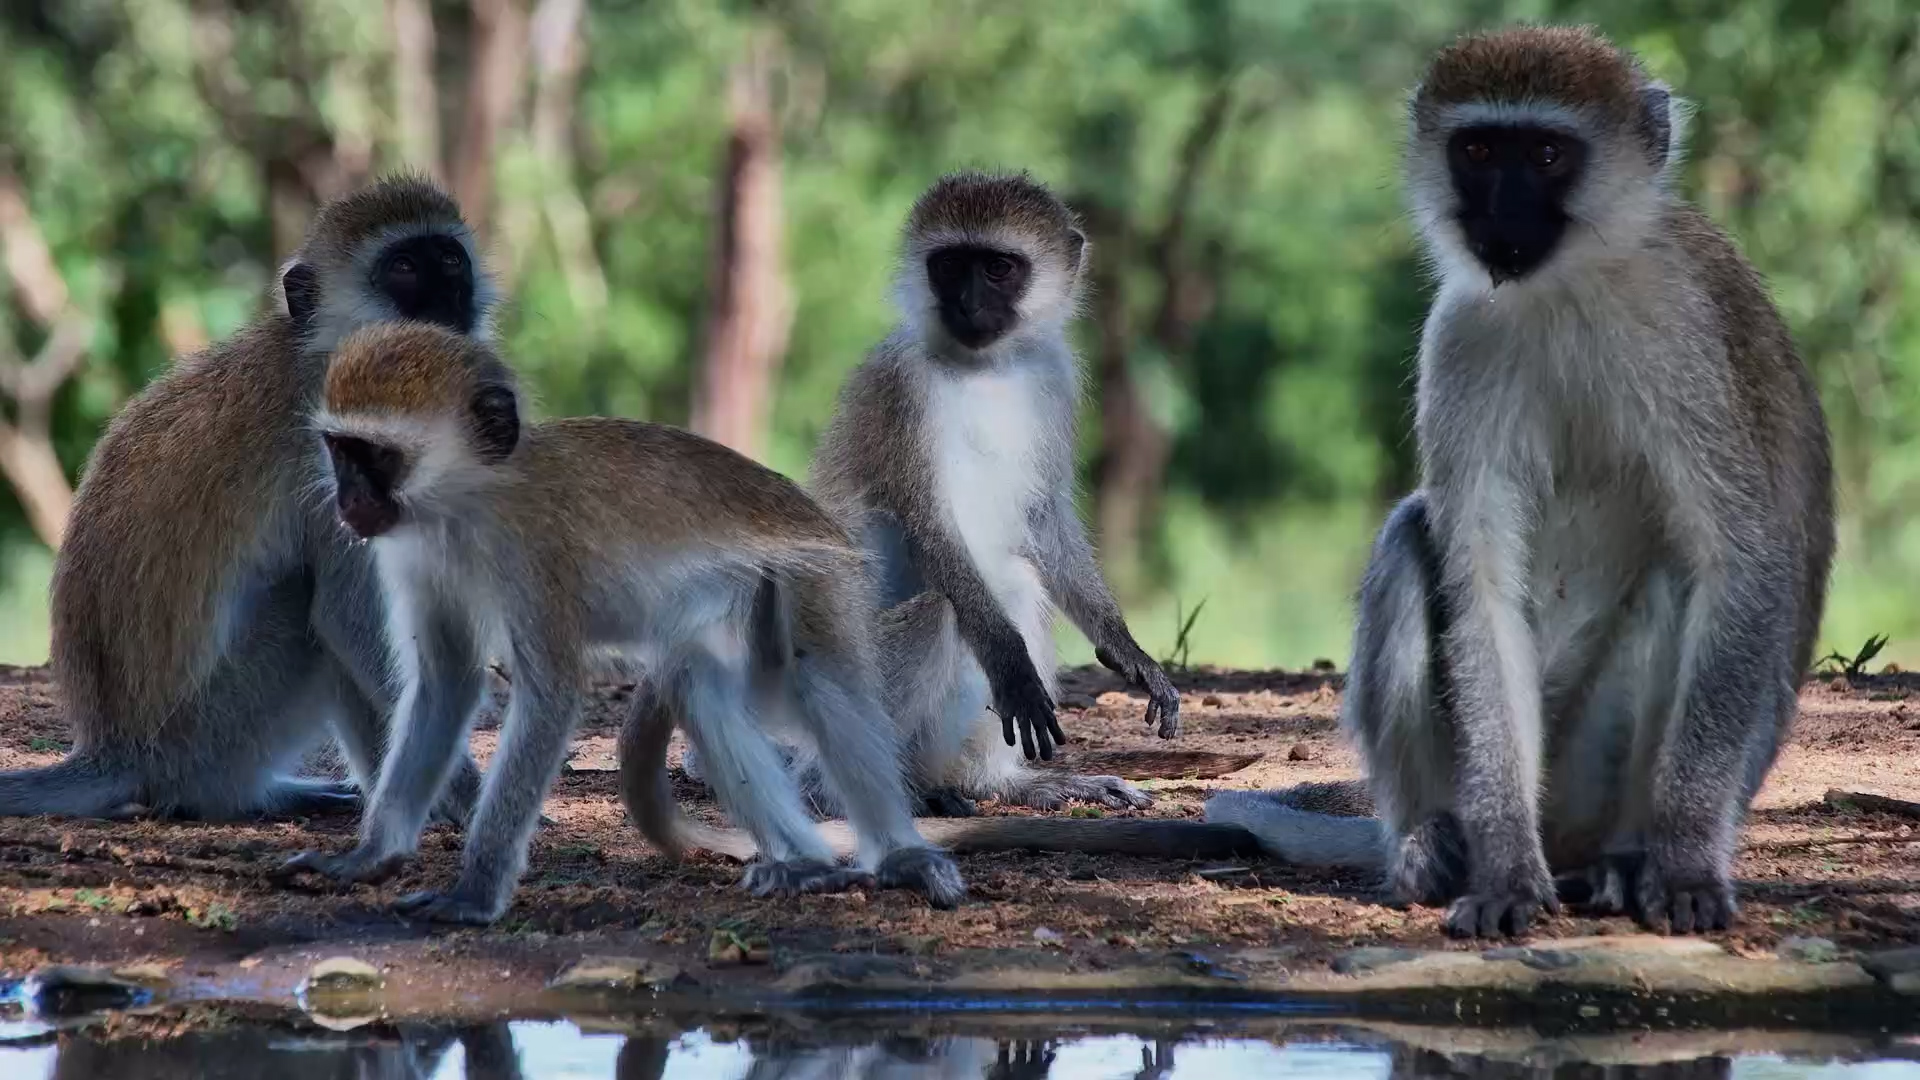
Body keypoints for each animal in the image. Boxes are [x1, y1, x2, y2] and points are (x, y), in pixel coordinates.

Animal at [0, 175, 497, 822]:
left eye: (449, 260)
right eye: (405, 268)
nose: (449, 296)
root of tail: (115, 750)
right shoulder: (332, 451)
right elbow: (351, 620)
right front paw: (469, 796)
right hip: (211, 731)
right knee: (311, 607)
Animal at [281, 322, 965, 924]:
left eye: (374, 456)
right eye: (339, 449)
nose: (347, 500)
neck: (471, 502)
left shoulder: (537, 554)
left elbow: (551, 697)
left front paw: (474, 894)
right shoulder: (415, 553)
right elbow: (445, 685)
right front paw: (371, 857)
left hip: (815, 577)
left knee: (822, 681)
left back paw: (898, 855)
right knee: (699, 680)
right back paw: (807, 863)